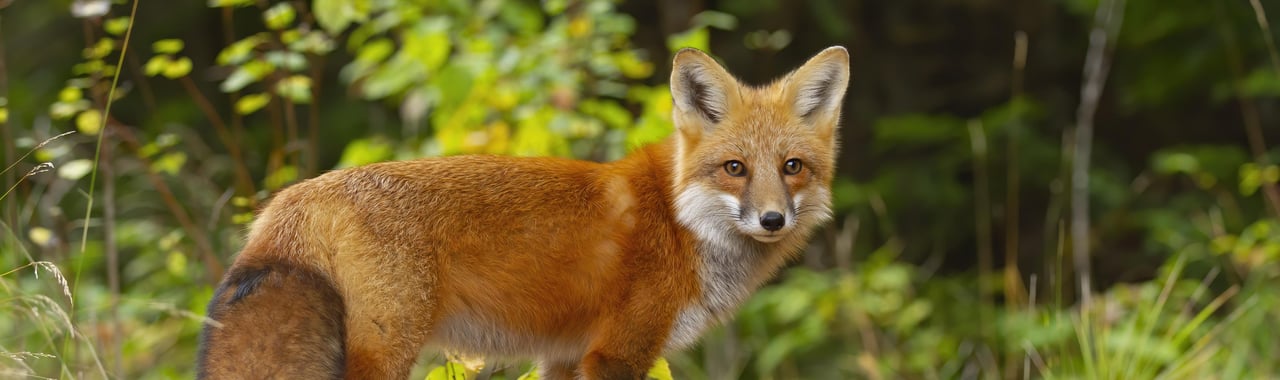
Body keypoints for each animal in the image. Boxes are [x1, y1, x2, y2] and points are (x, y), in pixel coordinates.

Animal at [197, 46, 849, 378]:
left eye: (792, 167)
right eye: (734, 168)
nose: (773, 221)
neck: (680, 221)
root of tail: (294, 199)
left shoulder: (564, 356)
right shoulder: (618, 353)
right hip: (385, 355)